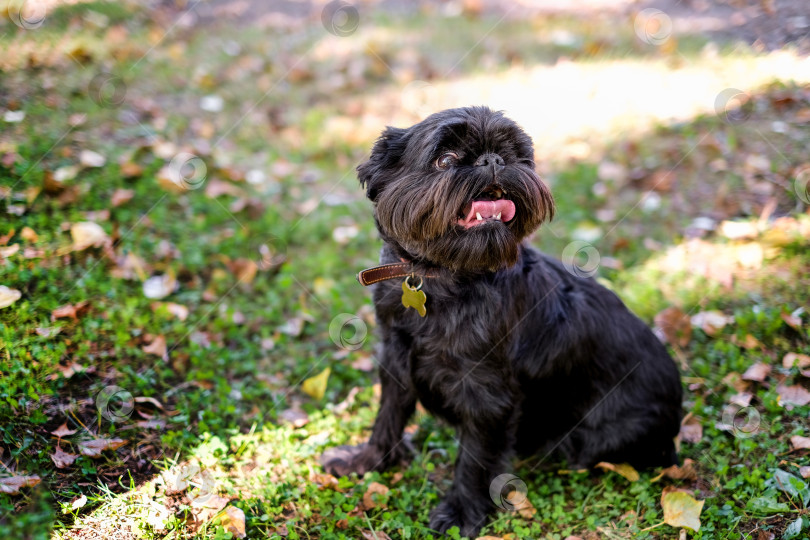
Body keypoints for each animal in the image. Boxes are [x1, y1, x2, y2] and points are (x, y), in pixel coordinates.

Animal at [322, 105, 680, 536]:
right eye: (445, 160)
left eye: (512, 156)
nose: (493, 160)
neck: (443, 277)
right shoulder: (395, 358)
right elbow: (387, 416)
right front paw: (369, 460)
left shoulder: (487, 396)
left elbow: (474, 458)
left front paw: (462, 512)